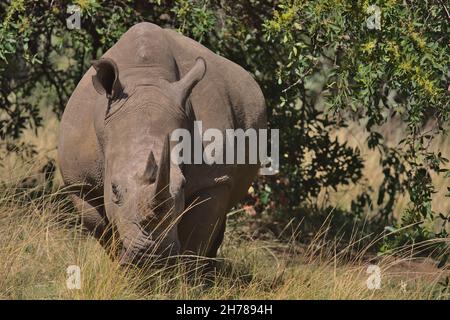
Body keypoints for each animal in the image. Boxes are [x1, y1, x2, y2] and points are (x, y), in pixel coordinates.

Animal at [57, 21, 266, 264]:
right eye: (114, 189)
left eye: (182, 186)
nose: (152, 254)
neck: (146, 79)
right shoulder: (80, 183)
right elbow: (104, 232)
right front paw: (125, 267)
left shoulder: (213, 181)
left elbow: (196, 239)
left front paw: (182, 274)